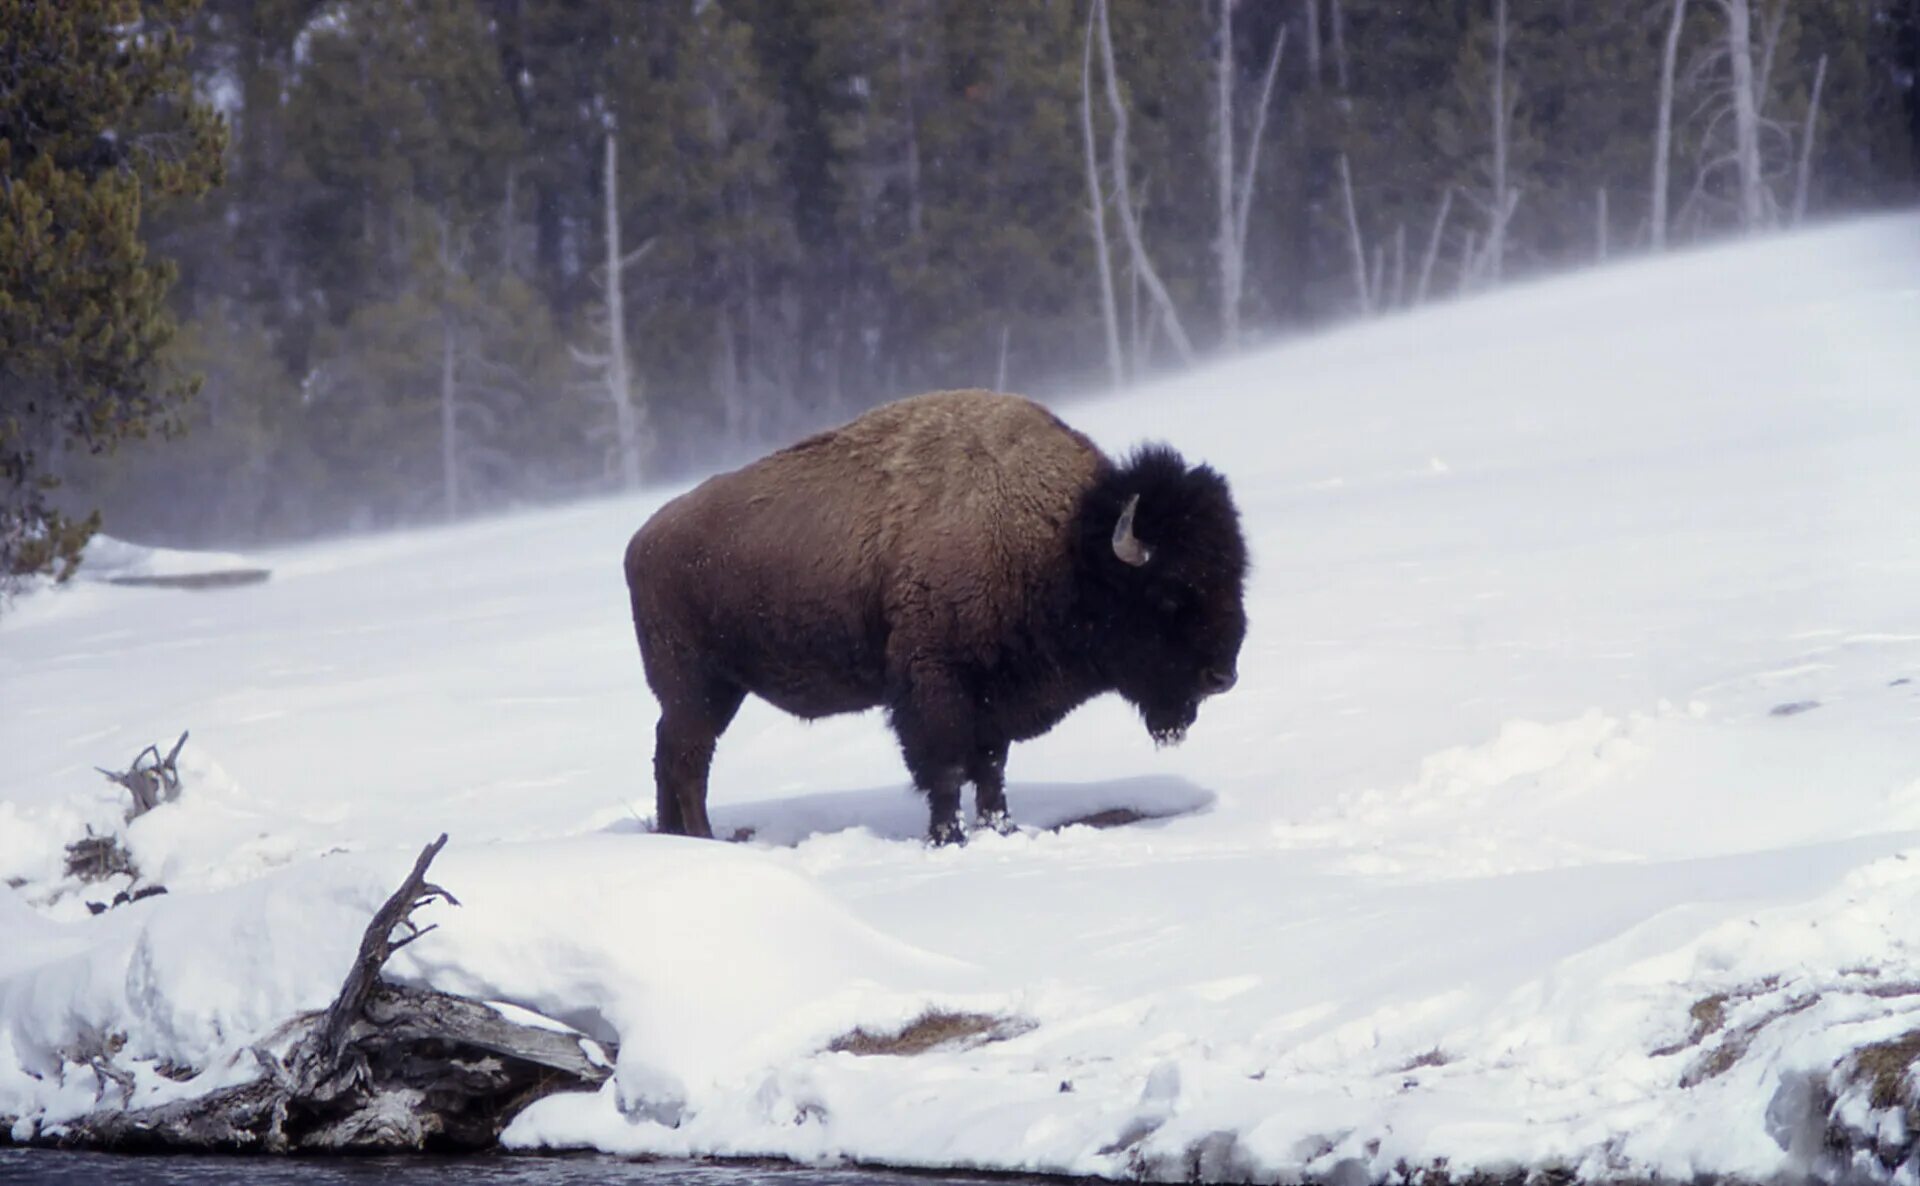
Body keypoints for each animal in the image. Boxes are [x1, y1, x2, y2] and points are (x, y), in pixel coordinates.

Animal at [629, 387, 1251, 840]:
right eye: (1169, 593)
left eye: (1235, 575)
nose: (1221, 676)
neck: (1063, 542)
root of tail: (642, 541)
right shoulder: (935, 684)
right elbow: (947, 770)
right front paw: (948, 838)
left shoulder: (993, 698)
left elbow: (992, 771)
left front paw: (1001, 830)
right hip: (698, 687)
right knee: (687, 759)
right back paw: (702, 837)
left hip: (712, 692)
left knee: (669, 753)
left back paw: (676, 837)